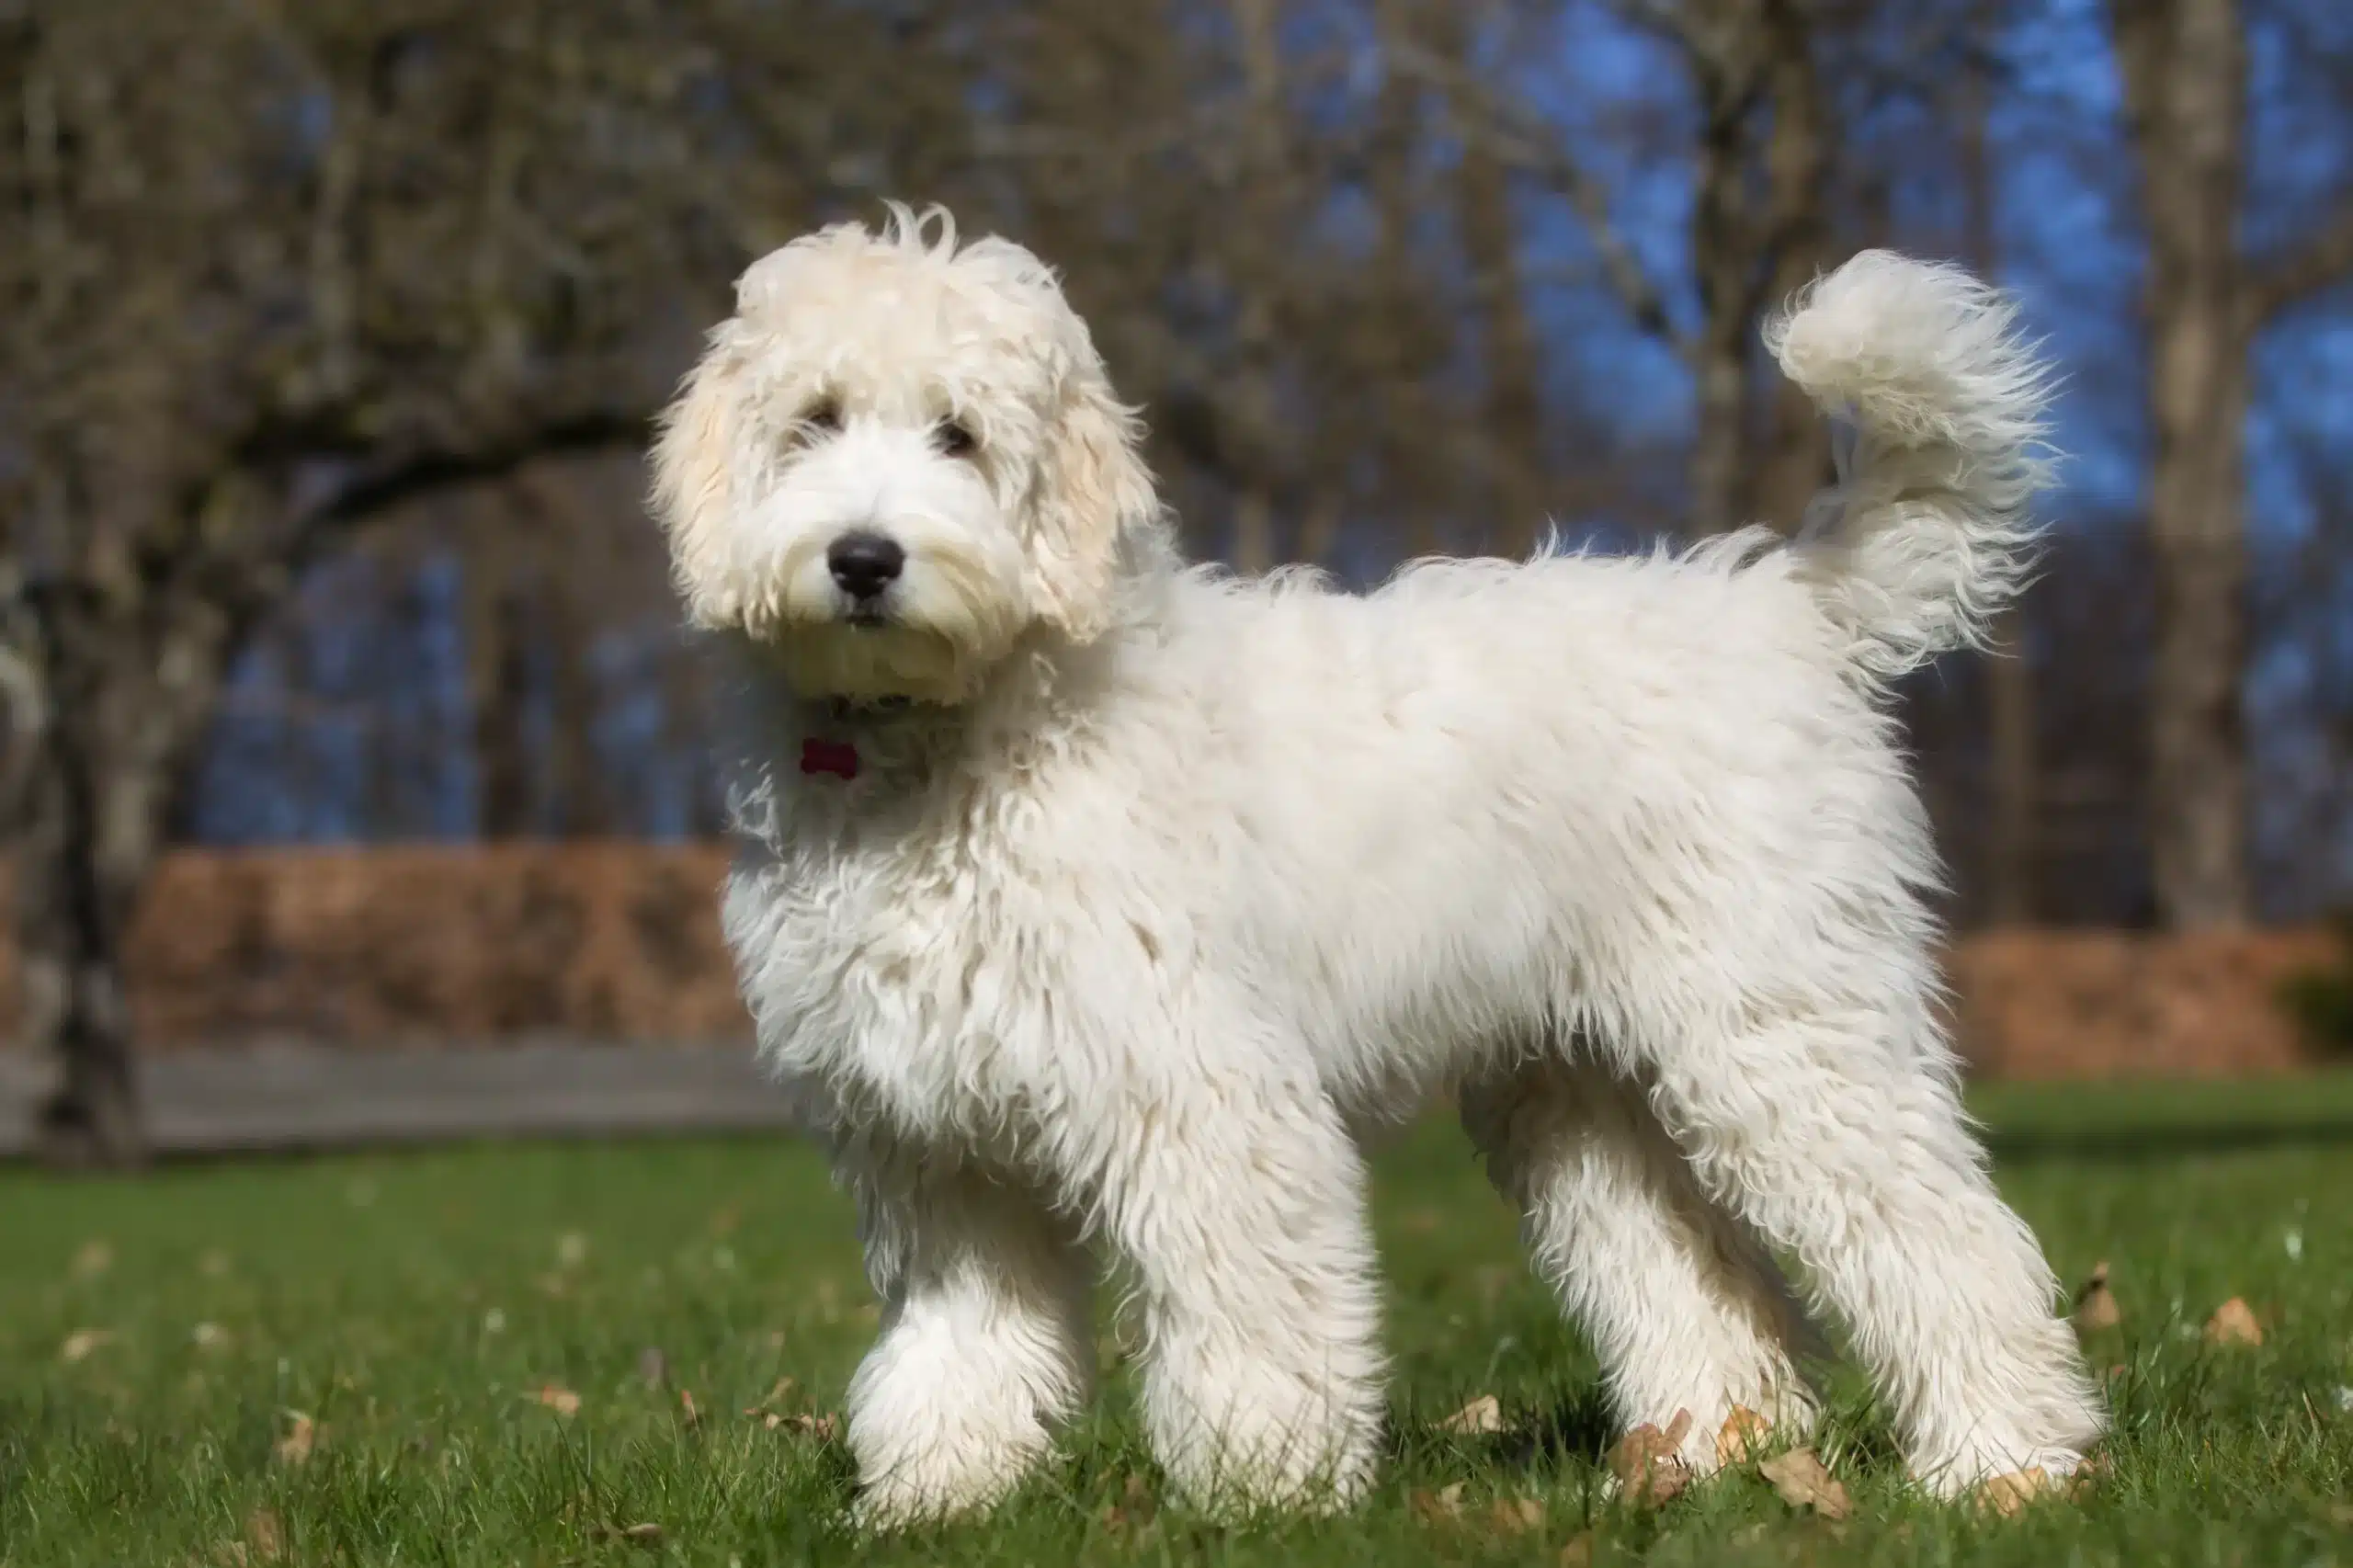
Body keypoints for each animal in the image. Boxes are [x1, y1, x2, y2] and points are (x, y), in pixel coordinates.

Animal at [654, 204, 2108, 1516]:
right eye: (814, 420)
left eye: (958, 433)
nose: (864, 558)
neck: (951, 732)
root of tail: (1782, 601)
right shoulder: (940, 1145)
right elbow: (960, 1336)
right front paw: (937, 1494)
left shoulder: (1202, 1089)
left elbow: (1251, 1304)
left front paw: (1264, 1487)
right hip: (1585, 1087)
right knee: (1698, 1280)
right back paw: (1703, 1458)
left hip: (1784, 1030)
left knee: (1944, 1237)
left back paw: (2002, 1464)